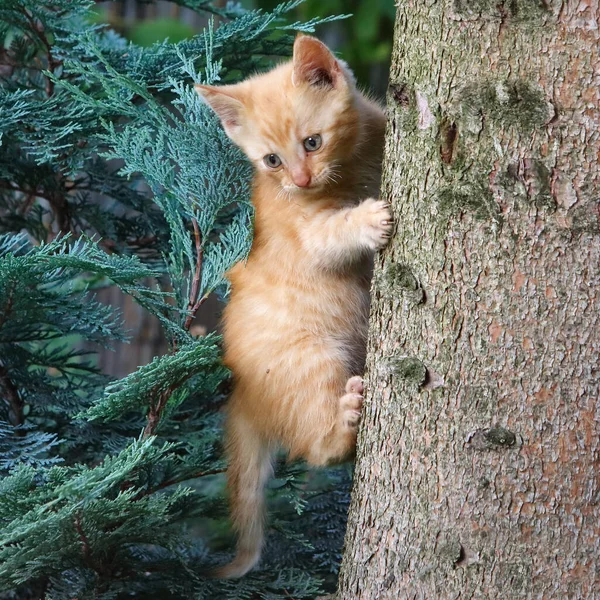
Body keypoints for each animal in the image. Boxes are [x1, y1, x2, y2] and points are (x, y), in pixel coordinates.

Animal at [197, 35, 392, 580]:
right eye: (271, 161)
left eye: (311, 143)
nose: (301, 181)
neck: (351, 172)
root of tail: (241, 393)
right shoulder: (301, 236)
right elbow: (330, 235)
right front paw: (368, 219)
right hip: (312, 358)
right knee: (317, 451)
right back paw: (343, 425)